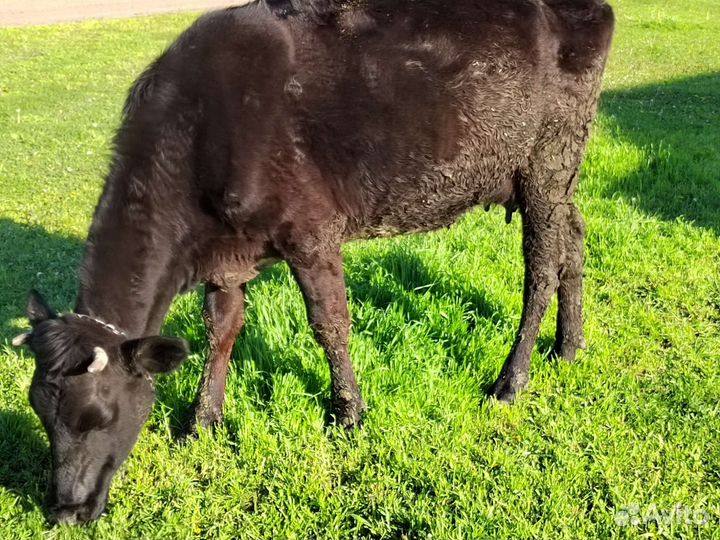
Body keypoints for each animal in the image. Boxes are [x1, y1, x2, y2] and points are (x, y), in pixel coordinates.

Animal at [12, 0, 614, 524]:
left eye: (100, 417)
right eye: (41, 413)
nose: (64, 512)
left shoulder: (311, 231)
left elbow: (329, 324)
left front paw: (349, 414)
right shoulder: (227, 257)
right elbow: (220, 330)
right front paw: (201, 422)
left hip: (545, 163)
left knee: (541, 267)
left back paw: (511, 379)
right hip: (559, 176)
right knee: (575, 239)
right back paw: (570, 345)